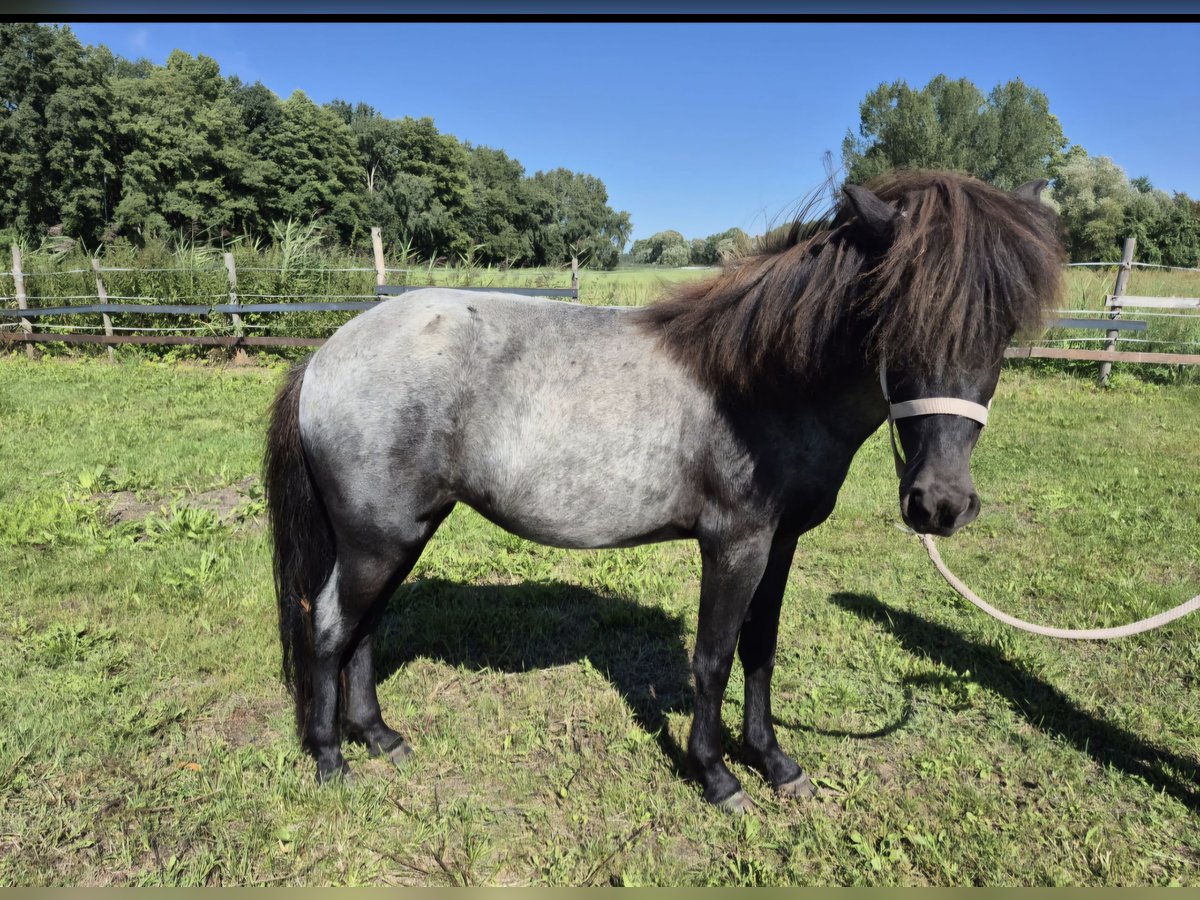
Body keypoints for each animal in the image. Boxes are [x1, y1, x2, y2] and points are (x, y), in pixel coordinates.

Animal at [264, 170, 1065, 812]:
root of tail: (326, 354)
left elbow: (760, 649)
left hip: (400, 534)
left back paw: (380, 737)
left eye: (1001, 328)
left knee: (366, 628)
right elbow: (712, 658)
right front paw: (717, 775)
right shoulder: (734, 546)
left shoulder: (780, 546)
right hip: (378, 538)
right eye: (899, 313)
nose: (941, 504)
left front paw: (776, 763)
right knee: (331, 627)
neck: (762, 384)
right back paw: (332, 758)